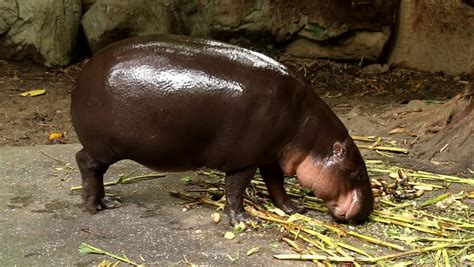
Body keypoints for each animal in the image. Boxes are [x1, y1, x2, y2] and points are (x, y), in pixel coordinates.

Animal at [71, 33, 374, 226]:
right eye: (356, 174)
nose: (367, 212)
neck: (308, 133)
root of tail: (84, 73)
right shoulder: (245, 159)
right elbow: (236, 189)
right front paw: (242, 221)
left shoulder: (269, 155)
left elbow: (276, 185)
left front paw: (292, 208)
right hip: (104, 146)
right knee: (86, 162)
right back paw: (96, 206)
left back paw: (107, 202)